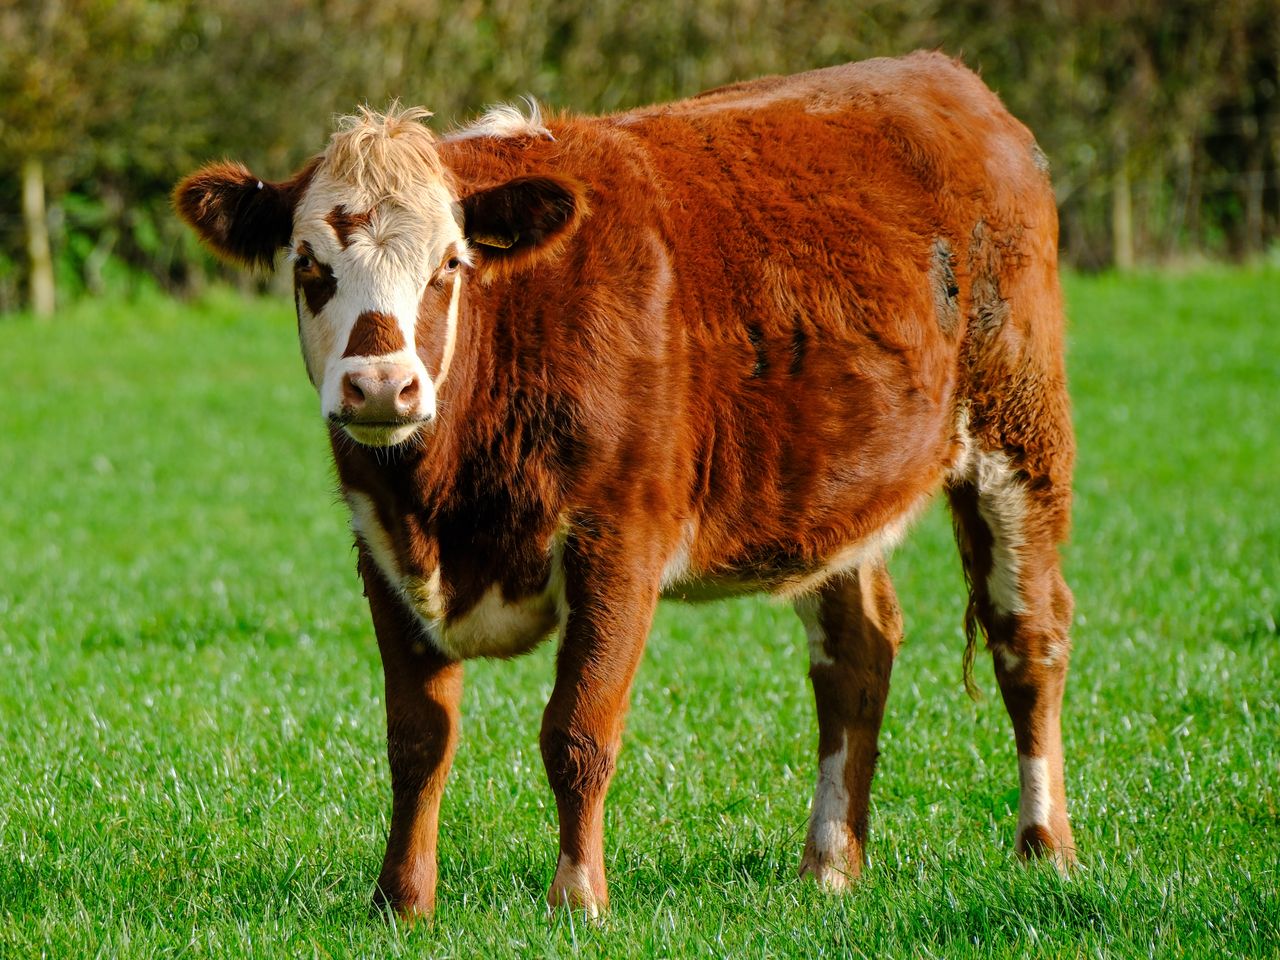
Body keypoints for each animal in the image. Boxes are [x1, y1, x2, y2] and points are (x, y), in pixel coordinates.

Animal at [175, 50, 1077, 919]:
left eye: (449, 265)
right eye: (308, 265)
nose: (378, 387)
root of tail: (947, 78)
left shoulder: (618, 543)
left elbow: (577, 733)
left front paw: (578, 899)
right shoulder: (384, 548)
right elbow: (417, 740)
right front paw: (401, 902)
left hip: (1019, 441)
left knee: (1028, 639)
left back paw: (1045, 850)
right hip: (833, 493)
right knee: (857, 655)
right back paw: (828, 865)